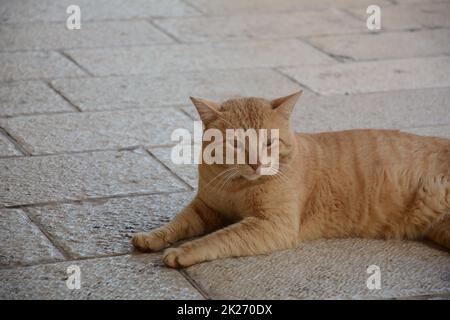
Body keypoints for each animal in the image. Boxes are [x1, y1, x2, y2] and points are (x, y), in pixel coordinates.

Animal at [133, 92, 450, 268]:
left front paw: (184, 251)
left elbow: (218, 238)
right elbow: (178, 223)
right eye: (236, 144)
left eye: (269, 142)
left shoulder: (273, 225)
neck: (238, 186)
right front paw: (153, 236)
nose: (256, 163)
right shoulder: (205, 207)